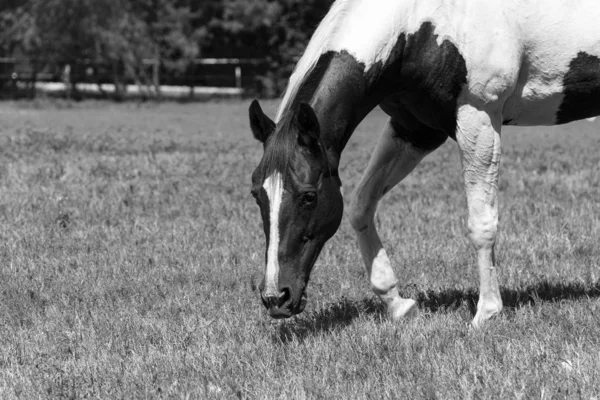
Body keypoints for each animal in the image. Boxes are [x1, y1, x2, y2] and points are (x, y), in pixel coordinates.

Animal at [247, 0, 600, 328]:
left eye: (309, 196)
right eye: (256, 195)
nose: (275, 297)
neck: (419, 24)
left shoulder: (478, 119)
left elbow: (481, 224)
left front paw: (486, 313)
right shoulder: (414, 130)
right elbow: (361, 205)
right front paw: (397, 303)